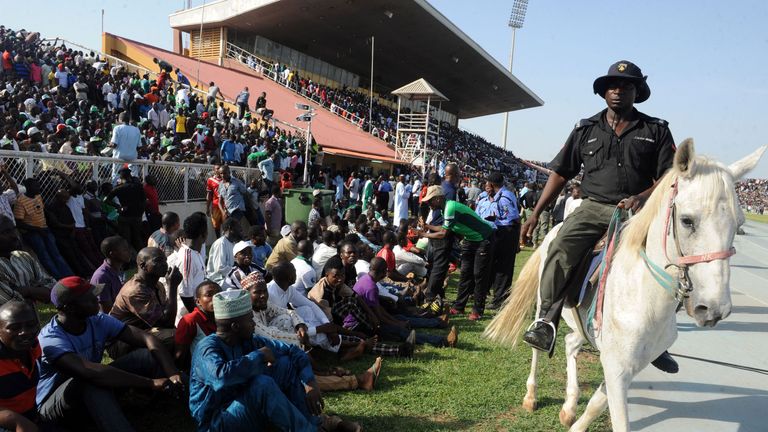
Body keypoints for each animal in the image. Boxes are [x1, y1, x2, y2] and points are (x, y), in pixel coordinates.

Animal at [484, 139, 764, 432]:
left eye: (739, 224)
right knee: (538, 345)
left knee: (571, 342)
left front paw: (576, 423)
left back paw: (569, 405)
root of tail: (555, 229)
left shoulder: (626, 365)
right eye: (687, 220)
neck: (645, 297)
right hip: (543, 301)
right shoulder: (617, 367)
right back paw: (531, 393)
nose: (714, 308)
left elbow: (597, 403)